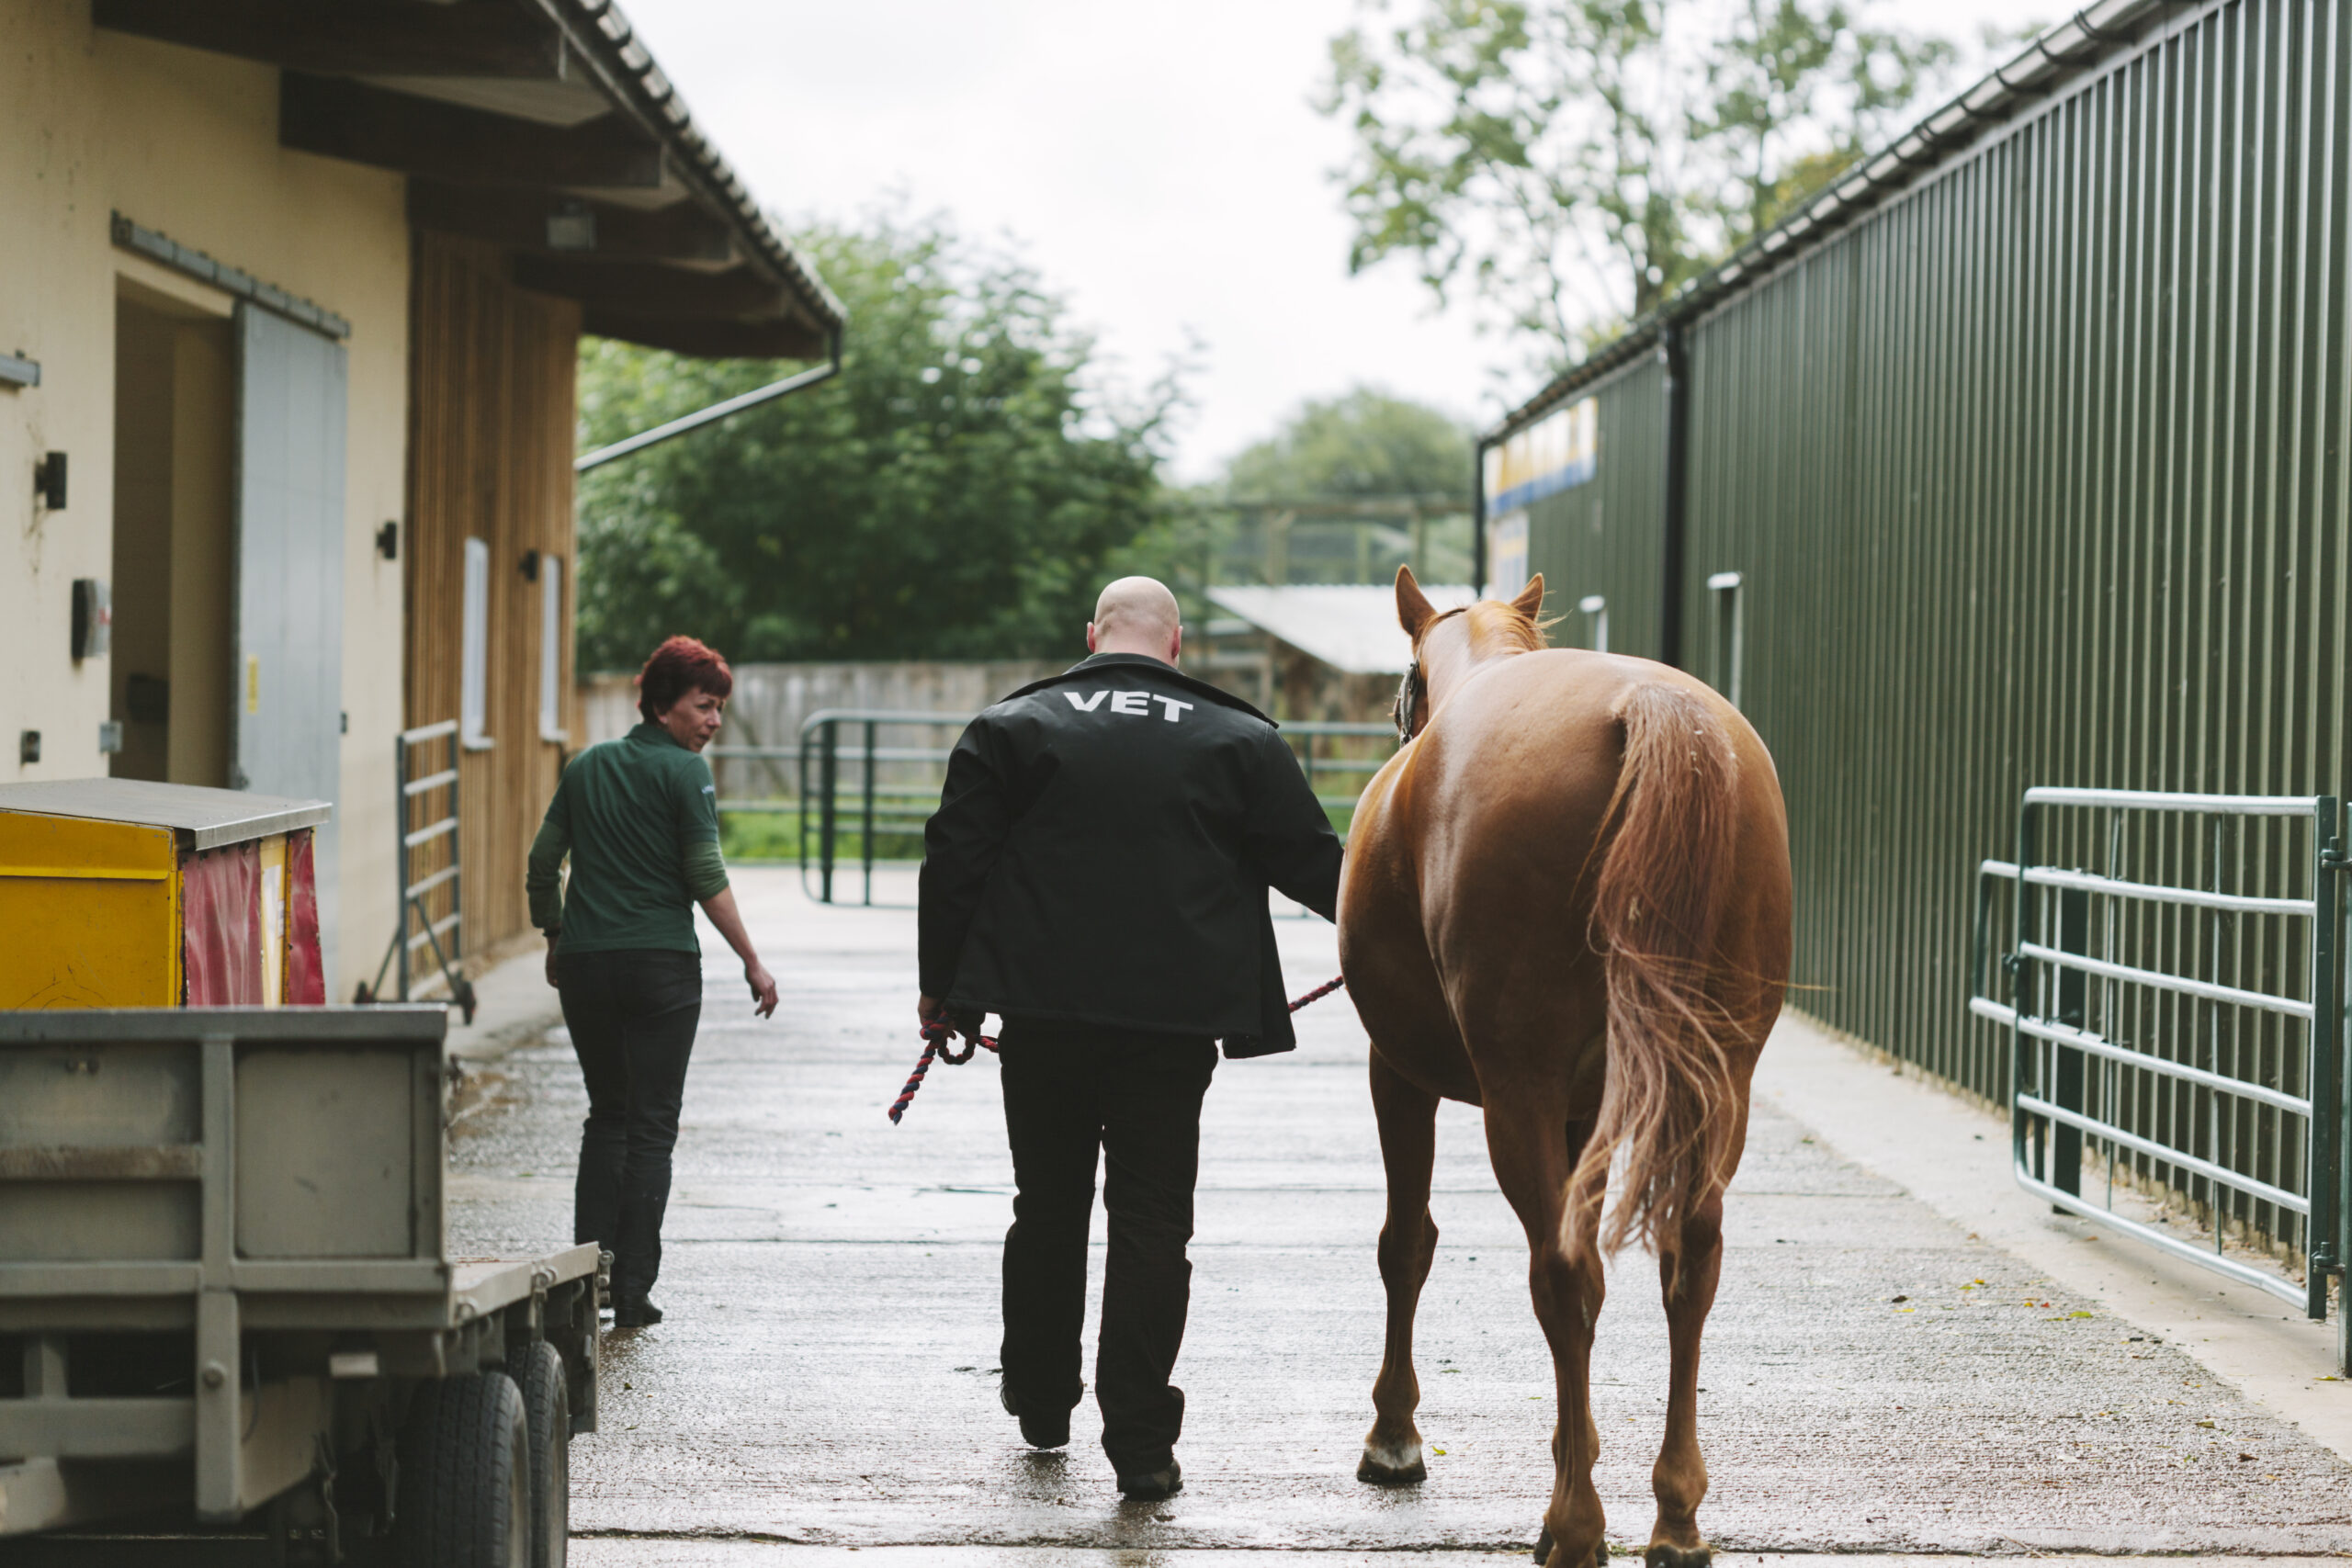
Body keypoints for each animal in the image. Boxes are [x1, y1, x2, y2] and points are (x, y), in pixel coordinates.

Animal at [1337, 566, 1792, 1568]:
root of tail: (1647, 708)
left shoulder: (1400, 1073)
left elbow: (1404, 1243)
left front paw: (1394, 1437)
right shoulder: (1587, 1111)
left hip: (1518, 1092)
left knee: (1563, 1272)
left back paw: (1576, 1522)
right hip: (1719, 1086)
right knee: (1688, 1261)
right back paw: (1674, 1516)